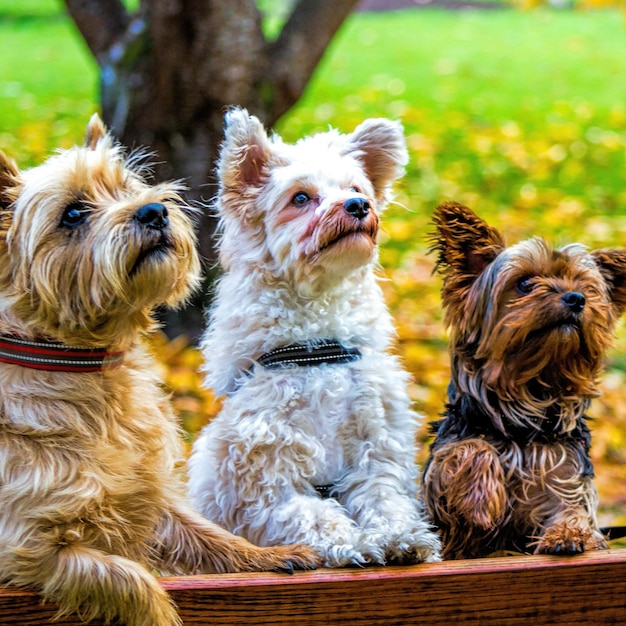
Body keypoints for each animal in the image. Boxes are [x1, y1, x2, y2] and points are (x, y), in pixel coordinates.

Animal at [0, 116, 316, 624]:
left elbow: (203, 532)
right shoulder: (29, 546)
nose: (153, 211)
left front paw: (267, 556)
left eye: (127, 189)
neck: (84, 365)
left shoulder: (149, 496)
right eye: (73, 213)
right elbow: (129, 580)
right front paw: (160, 613)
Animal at [188, 108, 442, 564]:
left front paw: (399, 538)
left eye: (355, 189)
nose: (359, 205)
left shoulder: (376, 453)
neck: (317, 348)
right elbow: (313, 514)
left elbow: (385, 500)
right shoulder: (267, 483)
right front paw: (351, 544)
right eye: (301, 198)